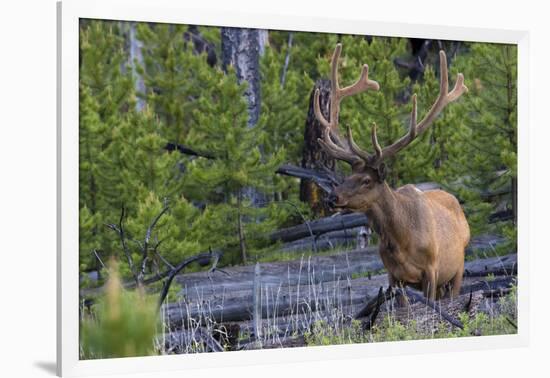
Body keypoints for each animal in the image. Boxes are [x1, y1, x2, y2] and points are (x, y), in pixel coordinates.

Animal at [316, 42, 472, 300]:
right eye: (347, 177)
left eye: (367, 180)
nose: (332, 197)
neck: (400, 240)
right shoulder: (393, 276)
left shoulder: (431, 270)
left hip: (456, 269)